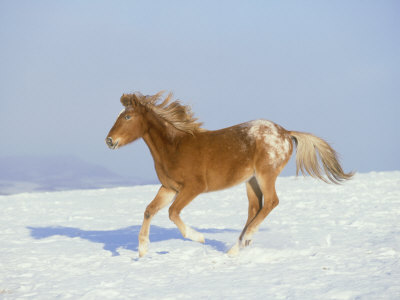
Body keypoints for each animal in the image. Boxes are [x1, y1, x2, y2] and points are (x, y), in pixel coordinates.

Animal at [104, 90, 352, 256]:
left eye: (127, 117)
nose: (109, 141)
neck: (174, 146)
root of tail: (285, 132)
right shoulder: (169, 187)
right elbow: (149, 210)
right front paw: (142, 250)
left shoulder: (193, 187)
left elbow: (173, 213)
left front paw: (199, 237)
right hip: (251, 180)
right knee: (255, 207)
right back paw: (237, 247)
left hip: (266, 174)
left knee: (271, 202)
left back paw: (243, 241)